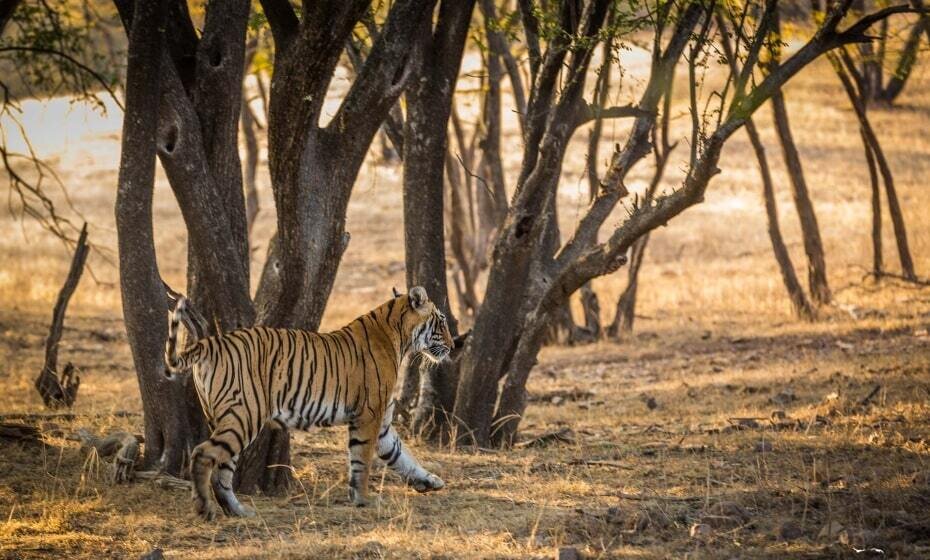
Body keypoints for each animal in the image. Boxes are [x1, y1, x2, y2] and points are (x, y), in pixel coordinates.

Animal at [163, 288, 454, 520]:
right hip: (244, 415)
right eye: (441, 322)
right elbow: (362, 461)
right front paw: (363, 499)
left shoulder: (381, 424)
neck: (398, 336)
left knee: (221, 471)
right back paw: (205, 509)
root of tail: (210, 342)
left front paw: (430, 481)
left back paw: (239, 511)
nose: (452, 346)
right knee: (203, 455)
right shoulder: (369, 415)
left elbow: (401, 455)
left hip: (229, 418)